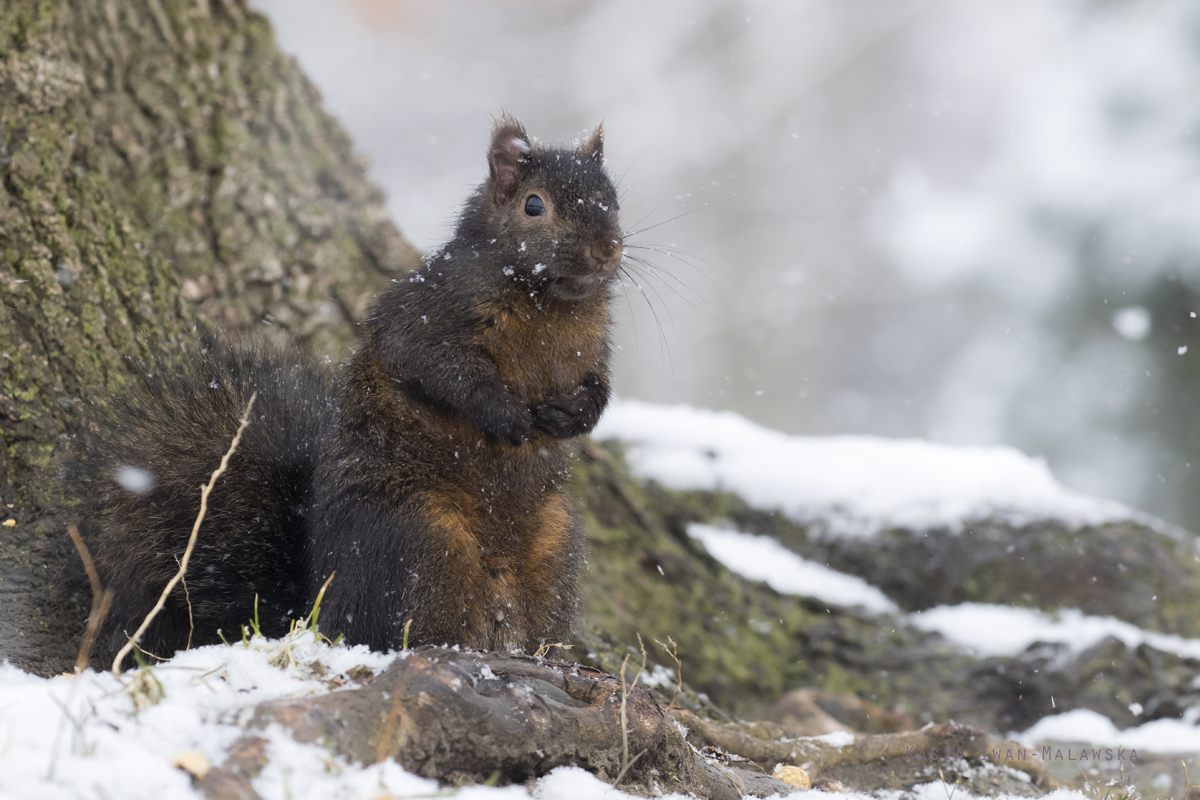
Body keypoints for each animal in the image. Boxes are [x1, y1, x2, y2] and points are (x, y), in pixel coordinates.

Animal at [79, 113, 624, 662]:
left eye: (614, 198)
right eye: (534, 205)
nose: (605, 251)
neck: (546, 302)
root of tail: (317, 609)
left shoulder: (593, 347)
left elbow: (599, 387)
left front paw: (576, 416)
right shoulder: (431, 311)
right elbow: (436, 367)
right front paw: (504, 413)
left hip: (555, 547)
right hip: (423, 537)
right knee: (394, 627)